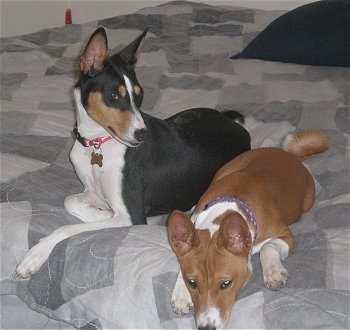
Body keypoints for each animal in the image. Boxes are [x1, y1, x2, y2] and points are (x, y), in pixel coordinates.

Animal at [13, 27, 249, 278]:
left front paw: (35, 255)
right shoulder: (92, 190)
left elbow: (68, 228)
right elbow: (70, 200)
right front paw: (99, 213)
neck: (98, 143)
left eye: (140, 95)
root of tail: (237, 126)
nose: (142, 135)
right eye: (114, 96)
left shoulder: (130, 217)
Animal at [168, 130, 330, 328]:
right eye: (192, 282)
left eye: (226, 283)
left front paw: (274, 273)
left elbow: (268, 247)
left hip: (306, 202)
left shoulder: (286, 235)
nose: (207, 328)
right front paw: (181, 294)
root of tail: (288, 153)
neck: (228, 207)